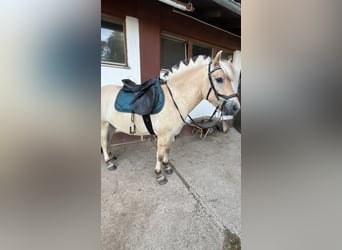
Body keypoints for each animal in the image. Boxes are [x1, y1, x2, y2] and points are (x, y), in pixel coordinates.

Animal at [101, 49, 240, 185]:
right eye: (219, 79)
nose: (235, 107)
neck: (174, 99)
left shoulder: (171, 134)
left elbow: (168, 150)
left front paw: (167, 167)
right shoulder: (163, 135)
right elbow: (159, 155)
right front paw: (159, 175)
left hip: (112, 125)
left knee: (107, 141)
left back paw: (110, 156)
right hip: (104, 124)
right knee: (103, 141)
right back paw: (109, 162)